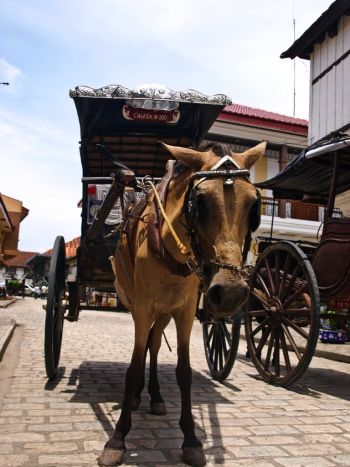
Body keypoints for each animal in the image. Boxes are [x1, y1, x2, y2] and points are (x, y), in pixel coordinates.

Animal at [97, 141, 266, 466]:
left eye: (254, 205)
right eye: (200, 200)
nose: (229, 292)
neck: (169, 249)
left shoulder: (185, 311)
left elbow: (184, 372)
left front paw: (191, 439)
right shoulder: (142, 307)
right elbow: (133, 368)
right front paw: (117, 438)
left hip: (165, 312)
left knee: (153, 344)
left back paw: (154, 396)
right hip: (139, 305)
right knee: (145, 346)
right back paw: (136, 396)